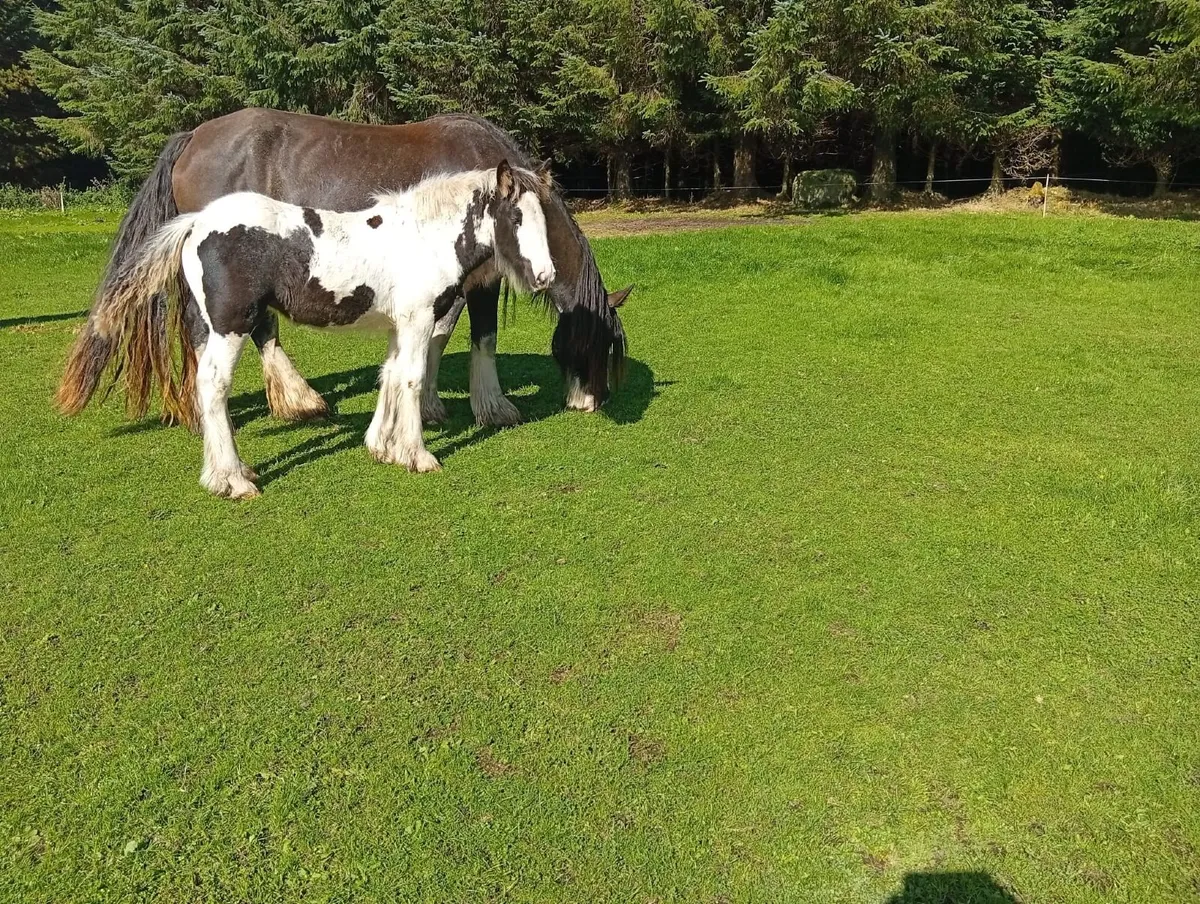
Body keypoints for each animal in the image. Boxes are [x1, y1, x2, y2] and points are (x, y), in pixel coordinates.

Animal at [57, 161, 556, 499]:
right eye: (516, 218)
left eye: (543, 218)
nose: (545, 276)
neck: (423, 236)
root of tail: (197, 221)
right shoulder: (417, 320)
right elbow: (412, 380)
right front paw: (417, 455)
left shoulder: (399, 324)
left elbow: (390, 376)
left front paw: (382, 446)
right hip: (230, 326)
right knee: (214, 387)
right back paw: (235, 481)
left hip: (205, 327)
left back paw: (223, 474)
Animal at [65, 108, 631, 431]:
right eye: (599, 344)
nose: (595, 401)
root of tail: (193, 136)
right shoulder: (479, 281)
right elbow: (478, 337)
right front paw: (493, 409)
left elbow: (436, 337)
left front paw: (428, 405)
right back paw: (294, 402)